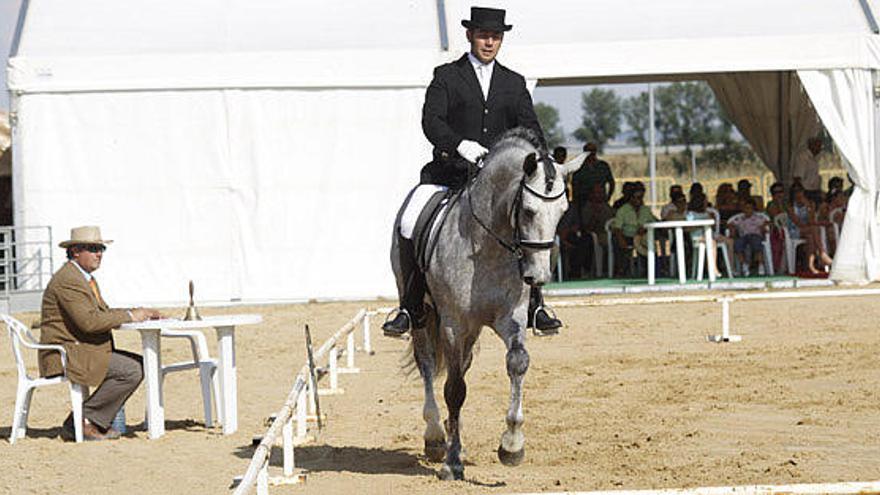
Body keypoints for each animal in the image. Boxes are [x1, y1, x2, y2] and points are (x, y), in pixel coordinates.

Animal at [392, 128, 584, 480]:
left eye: (562, 212)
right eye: (528, 211)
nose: (537, 277)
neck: (487, 244)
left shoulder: (512, 317)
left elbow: (517, 363)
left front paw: (512, 446)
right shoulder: (453, 324)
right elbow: (454, 389)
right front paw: (451, 462)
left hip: (472, 331)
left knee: (462, 366)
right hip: (424, 317)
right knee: (427, 364)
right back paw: (436, 437)